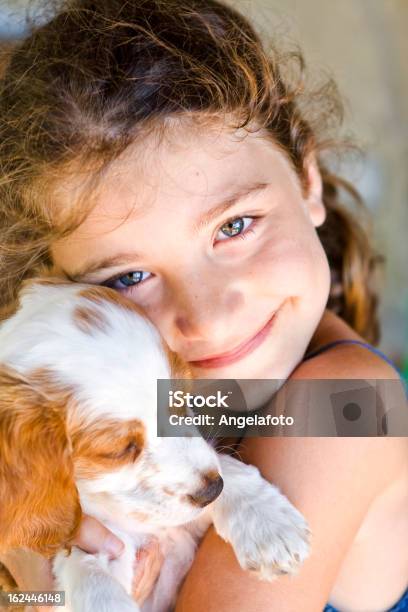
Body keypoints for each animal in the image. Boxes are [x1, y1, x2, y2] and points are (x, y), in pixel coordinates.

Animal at [0, 278, 310, 612]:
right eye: (120, 450)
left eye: (181, 397)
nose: (212, 491)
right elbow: (82, 565)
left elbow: (221, 463)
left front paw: (269, 524)